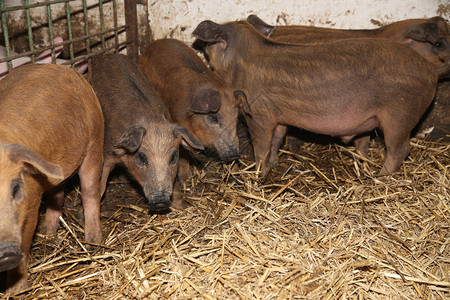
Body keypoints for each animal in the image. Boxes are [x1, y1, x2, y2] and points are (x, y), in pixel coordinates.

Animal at [0, 62, 103, 292]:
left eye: (15, 189)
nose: (5, 253)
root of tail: (59, 67)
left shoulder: (30, 203)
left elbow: (25, 243)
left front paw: (16, 291)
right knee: (58, 192)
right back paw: (48, 232)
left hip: (95, 139)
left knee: (90, 191)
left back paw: (94, 242)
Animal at [87, 52, 203, 211]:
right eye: (141, 157)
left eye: (173, 157)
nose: (160, 201)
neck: (151, 121)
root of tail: (106, 54)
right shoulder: (107, 152)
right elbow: (101, 185)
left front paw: (183, 207)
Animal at [137, 38, 250, 207]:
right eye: (213, 118)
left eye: (236, 118)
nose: (234, 153)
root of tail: (155, 43)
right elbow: (183, 153)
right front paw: (184, 180)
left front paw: (236, 178)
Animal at [193, 19, 440, 178]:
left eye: (210, 45)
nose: (202, 50)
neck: (242, 59)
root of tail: (431, 71)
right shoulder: (279, 115)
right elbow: (277, 139)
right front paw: (274, 163)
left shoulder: (259, 113)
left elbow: (261, 145)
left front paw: (258, 174)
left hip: (400, 114)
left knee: (401, 149)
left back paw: (381, 177)